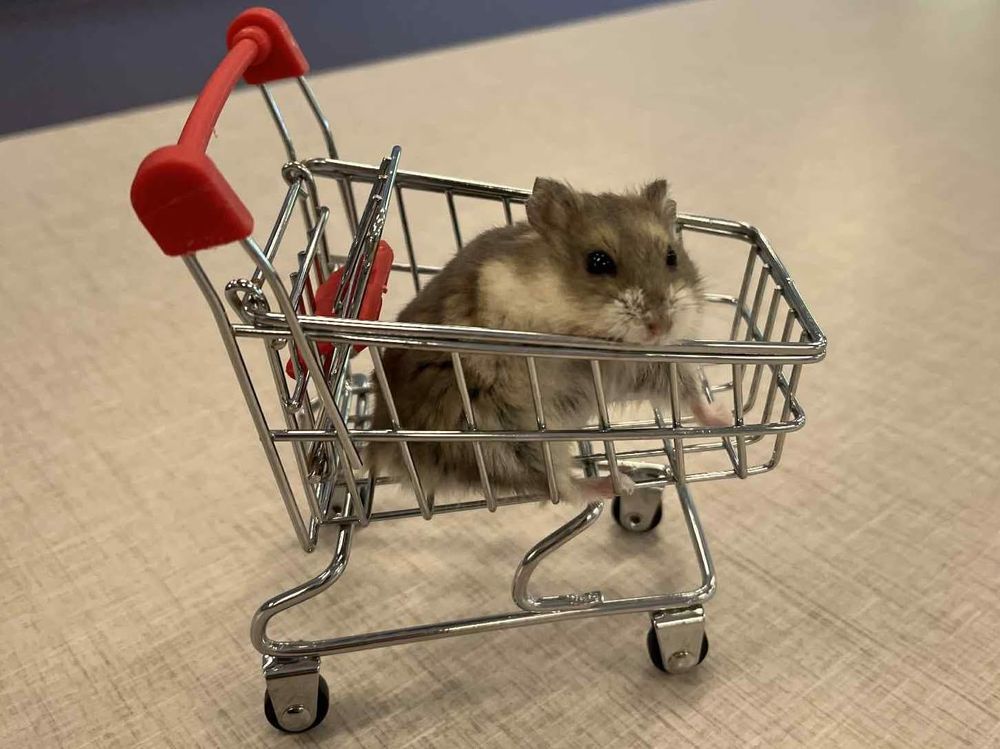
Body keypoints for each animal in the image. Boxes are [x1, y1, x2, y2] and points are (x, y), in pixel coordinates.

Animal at [367, 178, 728, 502]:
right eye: (598, 262)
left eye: (672, 256)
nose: (660, 326)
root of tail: (378, 437)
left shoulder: (644, 368)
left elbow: (688, 393)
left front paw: (722, 416)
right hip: (501, 440)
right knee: (558, 487)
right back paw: (619, 484)